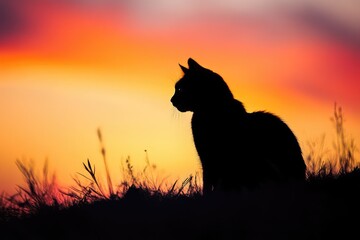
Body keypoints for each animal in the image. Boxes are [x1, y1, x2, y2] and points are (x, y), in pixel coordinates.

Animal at [172, 58, 306, 195]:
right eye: (177, 88)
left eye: (180, 89)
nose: (172, 100)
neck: (210, 111)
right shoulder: (207, 160)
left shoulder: (212, 160)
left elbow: (210, 184)